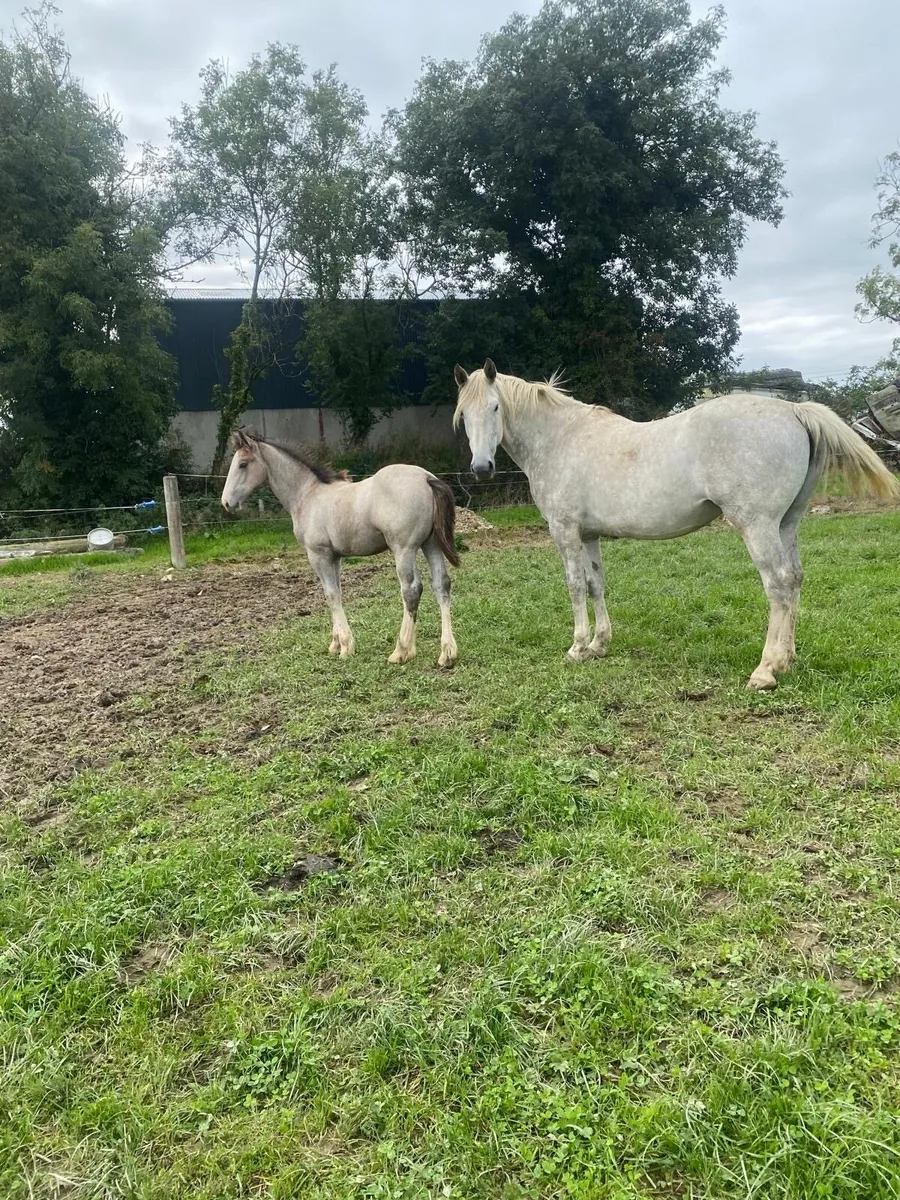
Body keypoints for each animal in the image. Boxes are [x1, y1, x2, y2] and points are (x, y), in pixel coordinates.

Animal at [221, 430, 459, 667]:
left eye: (243, 464)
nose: (226, 503)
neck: (307, 495)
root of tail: (426, 478)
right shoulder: (335, 557)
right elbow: (336, 592)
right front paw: (335, 644)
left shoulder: (318, 555)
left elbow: (331, 594)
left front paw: (345, 646)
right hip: (431, 544)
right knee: (441, 584)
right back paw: (447, 653)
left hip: (404, 549)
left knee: (411, 590)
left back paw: (401, 651)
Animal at [453, 360, 900, 690]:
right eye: (463, 416)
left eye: (494, 408)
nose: (481, 468)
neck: (560, 439)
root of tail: (792, 409)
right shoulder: (589, 535)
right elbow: (597, 585)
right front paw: (599, 644)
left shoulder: (564, 533)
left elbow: (575, 586)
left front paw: (578, 647)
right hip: (786, 524)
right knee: (796, 579)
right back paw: (787, 660)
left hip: (757, 526)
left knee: (779, 584)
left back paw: (766, 670)